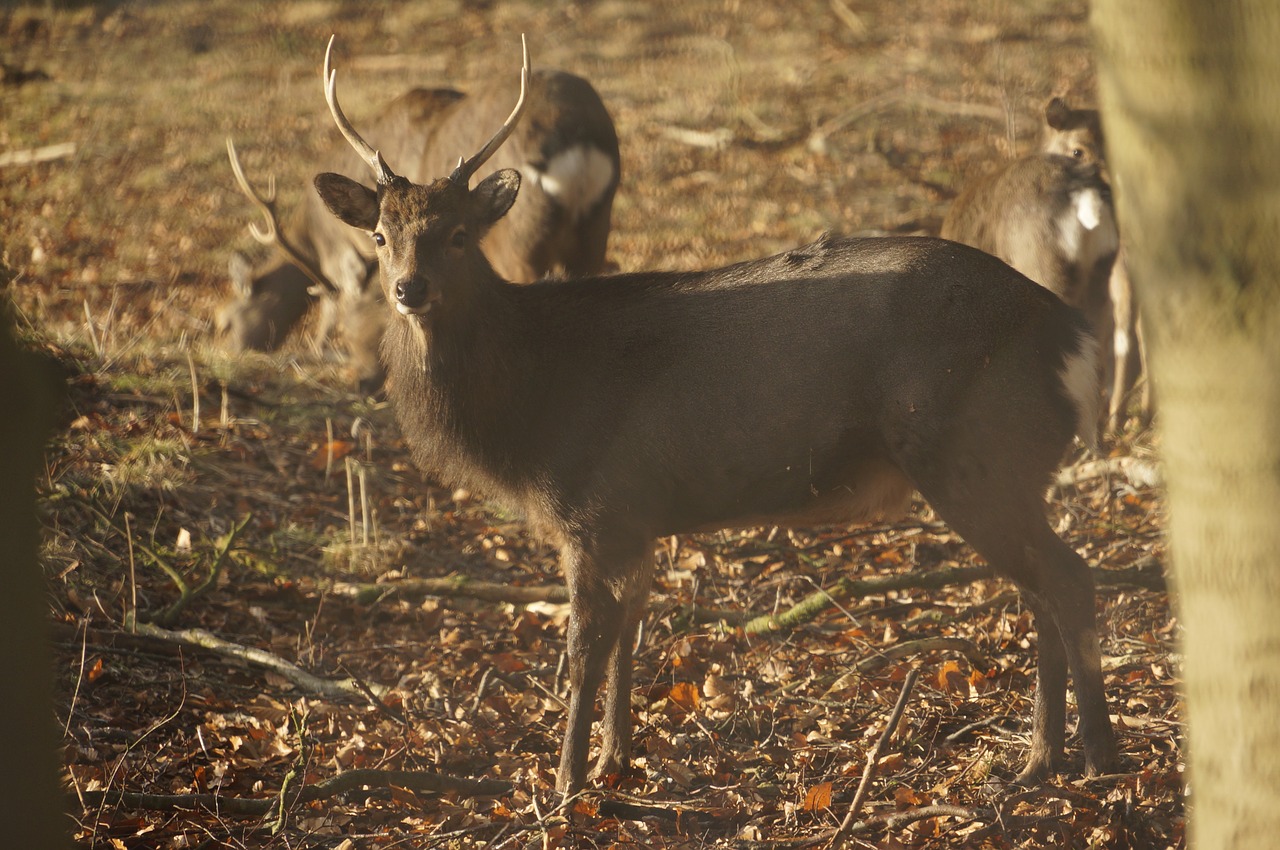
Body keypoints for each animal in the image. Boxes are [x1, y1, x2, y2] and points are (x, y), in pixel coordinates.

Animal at [222, 65, 622, 391]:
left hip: (521, 244)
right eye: (380, 235)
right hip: (595, 232)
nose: (362, 384)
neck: (315, 238)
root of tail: (577, 140)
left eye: (224, 320)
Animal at [312, 38, 1121, 798]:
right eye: (381, 234)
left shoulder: (592, 504)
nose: (409, 289)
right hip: (1003, 465)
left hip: (973, 450)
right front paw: (614, 759)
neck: (530, 411)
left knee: (1068, 577)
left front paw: (566, 781)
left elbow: (584, 644)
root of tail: (1068, 336)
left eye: (457, 234)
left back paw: (1094, 758)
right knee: (1038, 589)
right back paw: (1039, 760)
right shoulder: (635, 515)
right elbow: (632, 630)